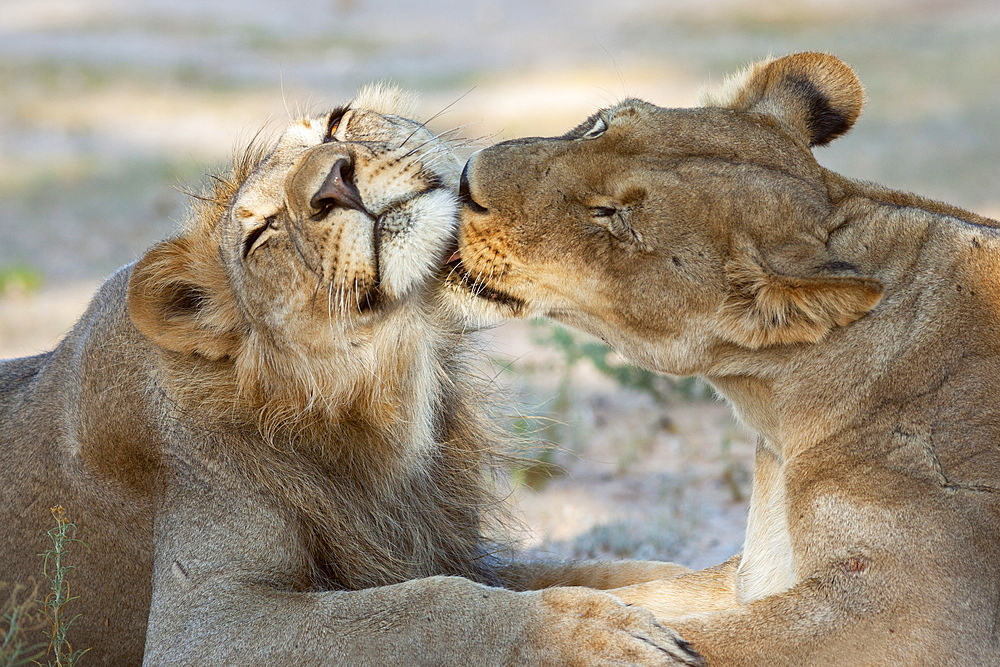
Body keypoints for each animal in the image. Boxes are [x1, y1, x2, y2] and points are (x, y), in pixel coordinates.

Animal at [0, 86, 704, 664]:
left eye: (336, 127)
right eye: (260, 234)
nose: (334, 183)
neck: (390, 378)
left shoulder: (441, 539)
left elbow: (597, 569)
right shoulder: (205, 623)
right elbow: (426, 605)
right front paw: (587, 634)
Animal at [452, 53, 1000, 667]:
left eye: (610, 216)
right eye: (598, 126)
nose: (465, 178)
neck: (777, 412)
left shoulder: (913, 610)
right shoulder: (754, 571)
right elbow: (648, 592)